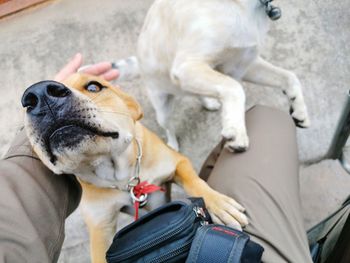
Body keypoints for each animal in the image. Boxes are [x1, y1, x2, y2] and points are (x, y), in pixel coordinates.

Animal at [21, 73, 247, 263]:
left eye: (94, 86)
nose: (39, 94)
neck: (120, 176)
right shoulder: (100, 227)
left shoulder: (177, 163)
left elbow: (194, 182)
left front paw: (219, 204)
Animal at [114, 0, 308, 153]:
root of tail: (139, 63)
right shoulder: (188, 66)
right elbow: (234, 88)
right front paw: (237, 131)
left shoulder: (244, 64)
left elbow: (289, 77)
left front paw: (299, 110)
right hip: (163, 107)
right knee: (168, 126)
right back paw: (173, 145)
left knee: (198, 94)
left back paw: (209, 102)